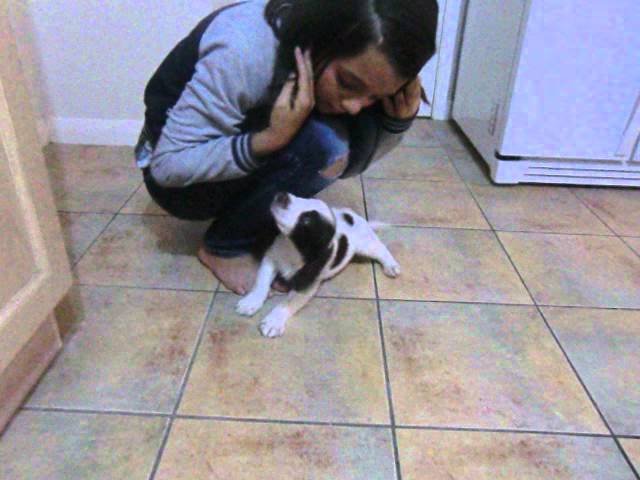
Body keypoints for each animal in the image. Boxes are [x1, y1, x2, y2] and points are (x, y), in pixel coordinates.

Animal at [236, 191, 400, 338]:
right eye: (303, 198)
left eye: (306, 220)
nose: (283, 195)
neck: (292, 248)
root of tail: (353, 217)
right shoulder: (272, 258)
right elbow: (261, 283)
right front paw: (251, 302)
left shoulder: (307, 283)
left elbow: (288, 303)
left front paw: (273, 322)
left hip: (366, 244)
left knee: (381, 249)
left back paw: (391, 265)